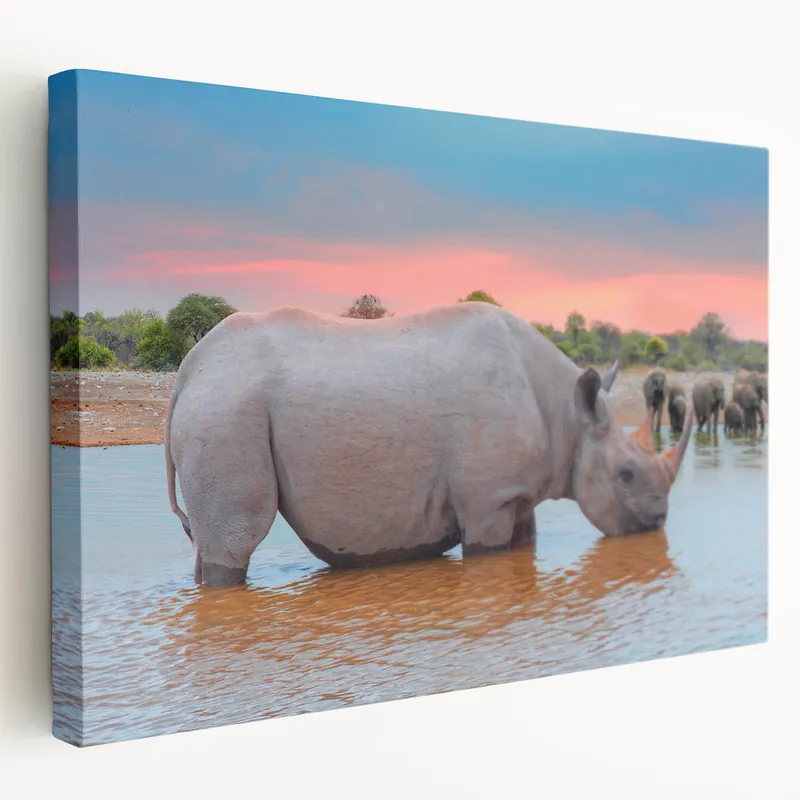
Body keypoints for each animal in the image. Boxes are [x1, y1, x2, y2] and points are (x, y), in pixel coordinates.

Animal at [165, 302, 693, 586]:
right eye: (626, 475)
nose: (657, 522)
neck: (569, 416)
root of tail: (189, 371)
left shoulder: (515, 493)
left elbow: (527, 544)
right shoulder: (487, 499)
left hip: (223, 402)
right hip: (230, 408)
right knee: (238, 535)